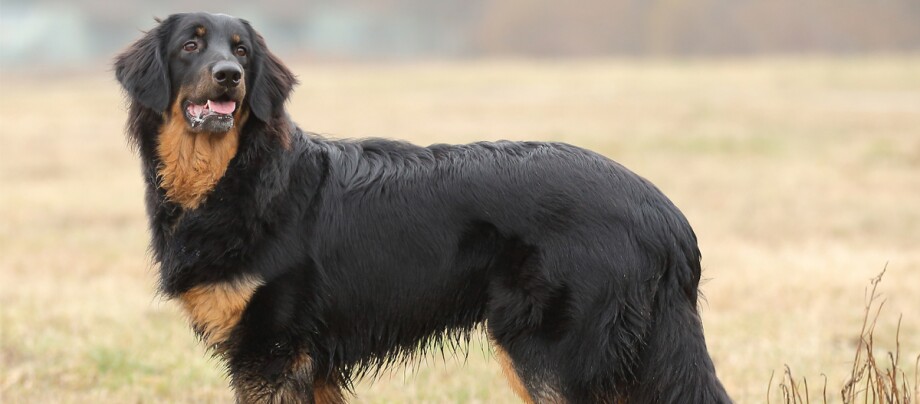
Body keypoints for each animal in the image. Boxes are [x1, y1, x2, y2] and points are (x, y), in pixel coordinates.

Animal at [115, 12, 732, 404]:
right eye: (191, 46)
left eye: (241, 50)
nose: (230, 76)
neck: (239, 175)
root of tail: (664, 213)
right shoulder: (306, 362)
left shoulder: (272, 352)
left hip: (550, 352)